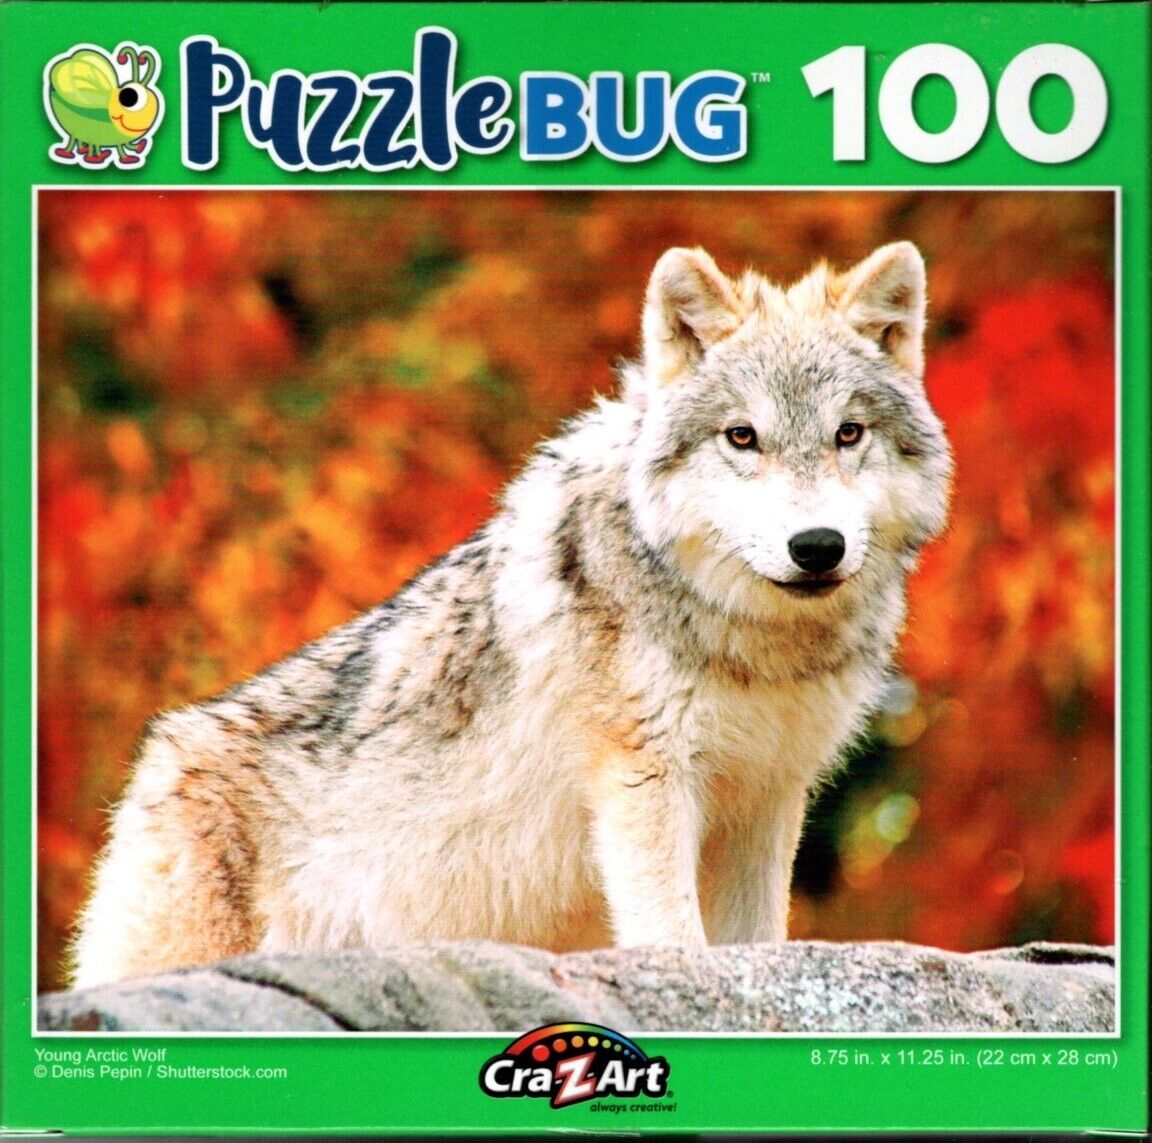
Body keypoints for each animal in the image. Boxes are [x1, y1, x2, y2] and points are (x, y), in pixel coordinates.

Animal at [70, 241, 951, 988]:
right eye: (743, 436)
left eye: (848, 433)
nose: (818, 546)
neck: (753, 646)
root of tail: (158, 758)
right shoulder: (645, 779)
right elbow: (672, 937)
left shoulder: (767, 800)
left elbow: (758, 943)